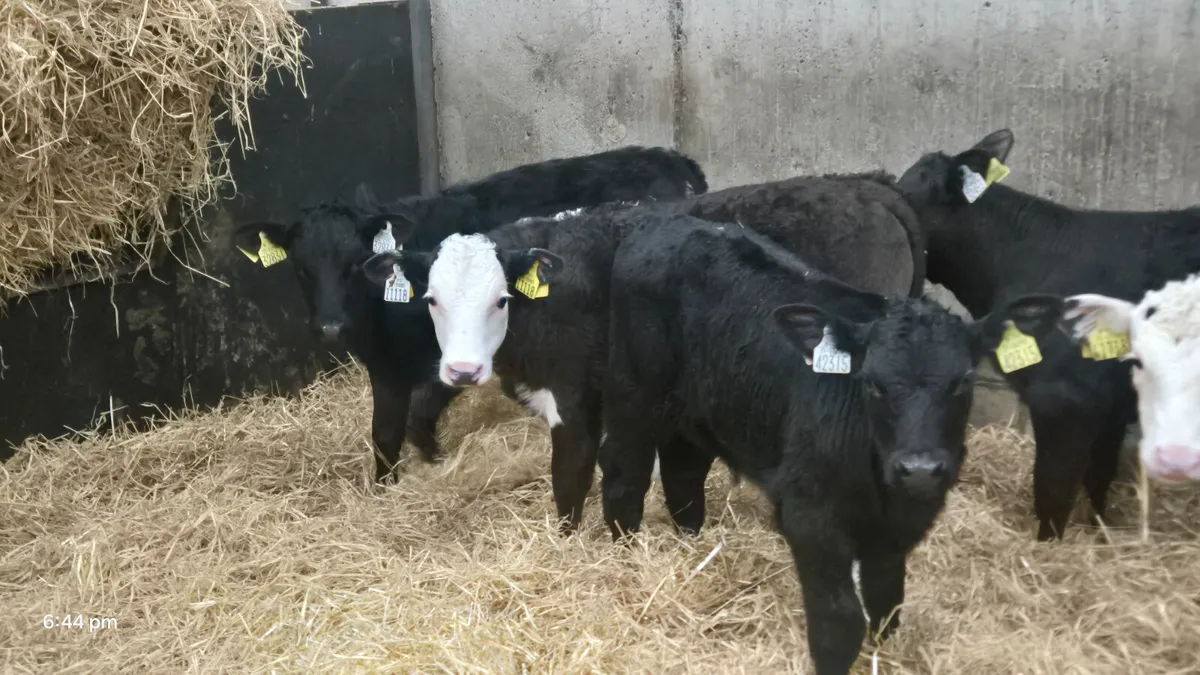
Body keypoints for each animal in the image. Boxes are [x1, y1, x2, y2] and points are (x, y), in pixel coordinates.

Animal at [232, 146, 708, 483]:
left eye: (354, 263)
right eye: (302, 269)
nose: (331, 326)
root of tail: (673, 160)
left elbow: (419, 415)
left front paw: (435, 459)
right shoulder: (386, 368)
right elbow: (385, 432)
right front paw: (385, 486)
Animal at [360, 172, 926, 530]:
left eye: (500, 300)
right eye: (432, 300)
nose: (461, 369)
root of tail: (870, 191)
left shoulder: (574, 396)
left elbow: (570, 480)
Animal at [596, 217, 1041, 675]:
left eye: (964, 381)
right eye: (872, 383)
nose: (919, 469)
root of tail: (665, 223)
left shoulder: (905, 521)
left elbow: (887, 597)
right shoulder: (810, 515)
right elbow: (839, 619)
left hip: (699, 407)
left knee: (683, 473)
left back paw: (690, 544)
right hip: (633, 390)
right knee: (624, 471)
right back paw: (627, 551)